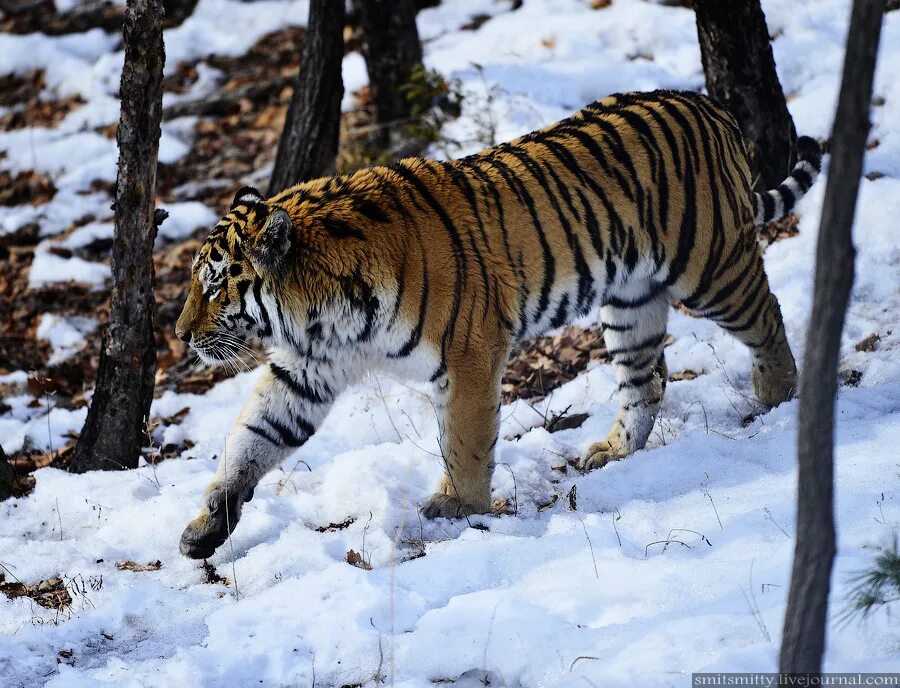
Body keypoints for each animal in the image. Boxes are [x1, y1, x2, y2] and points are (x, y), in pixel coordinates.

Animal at [176, 88, 824, 560]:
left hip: (710, 265)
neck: (320, 318)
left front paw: (457, 509)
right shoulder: (305, 372)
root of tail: (710, 105)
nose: (180, 336)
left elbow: (464, 442)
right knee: (647, 380)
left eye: (213, 283)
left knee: (768, 316)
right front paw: (204, 529)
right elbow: (249, 442)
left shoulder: (468, 354)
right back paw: (614, 451)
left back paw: (779, 395)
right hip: (630, 300)